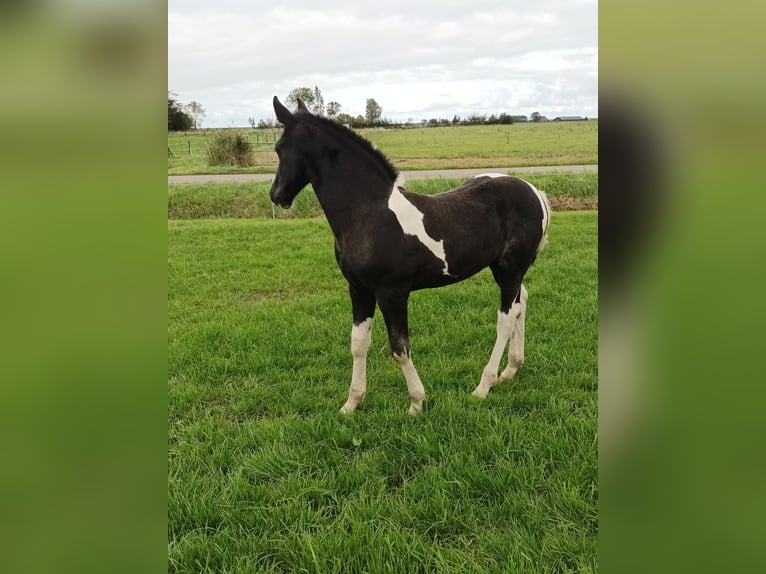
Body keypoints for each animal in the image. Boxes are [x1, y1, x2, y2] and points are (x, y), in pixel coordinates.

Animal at [270, 97, 552, 416]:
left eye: (279, 148)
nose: (276, 195)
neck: (370, 213)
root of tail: (534, 192)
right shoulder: (359, 289)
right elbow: (358, 343)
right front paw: (351, 403)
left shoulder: (392, 293)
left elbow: (399, 347)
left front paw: (417, 402)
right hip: (506, 271)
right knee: (521, 302)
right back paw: (511, 370)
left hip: (509, 269)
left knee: (505, 317)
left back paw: (484, 386)